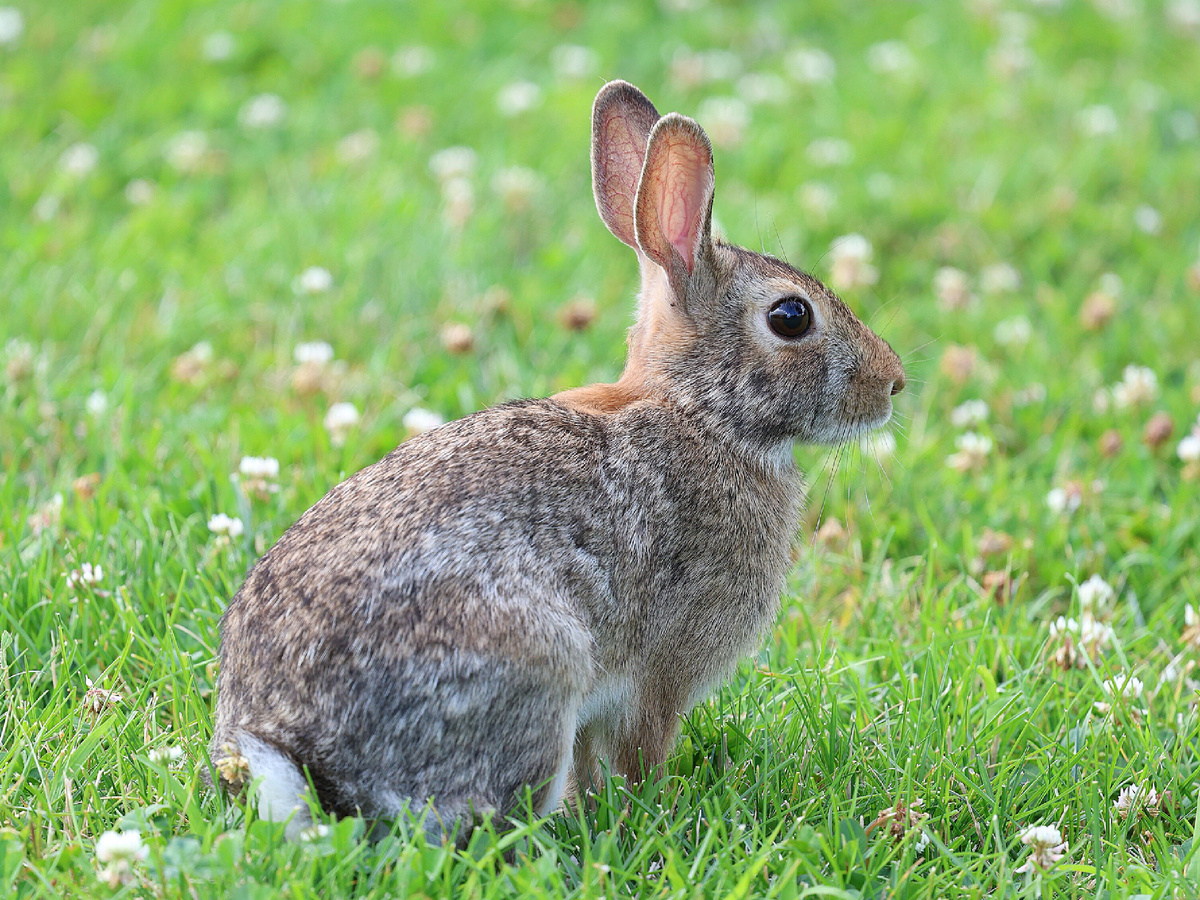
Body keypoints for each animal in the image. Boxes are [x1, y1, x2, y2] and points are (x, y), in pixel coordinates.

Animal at [209, 80, 905, 842]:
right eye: (791, 317)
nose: (893, 382)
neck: (702, 413)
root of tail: (298, 755)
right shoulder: (659, 675)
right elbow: (638, 754)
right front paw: (652, 813)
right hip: (535, 668)